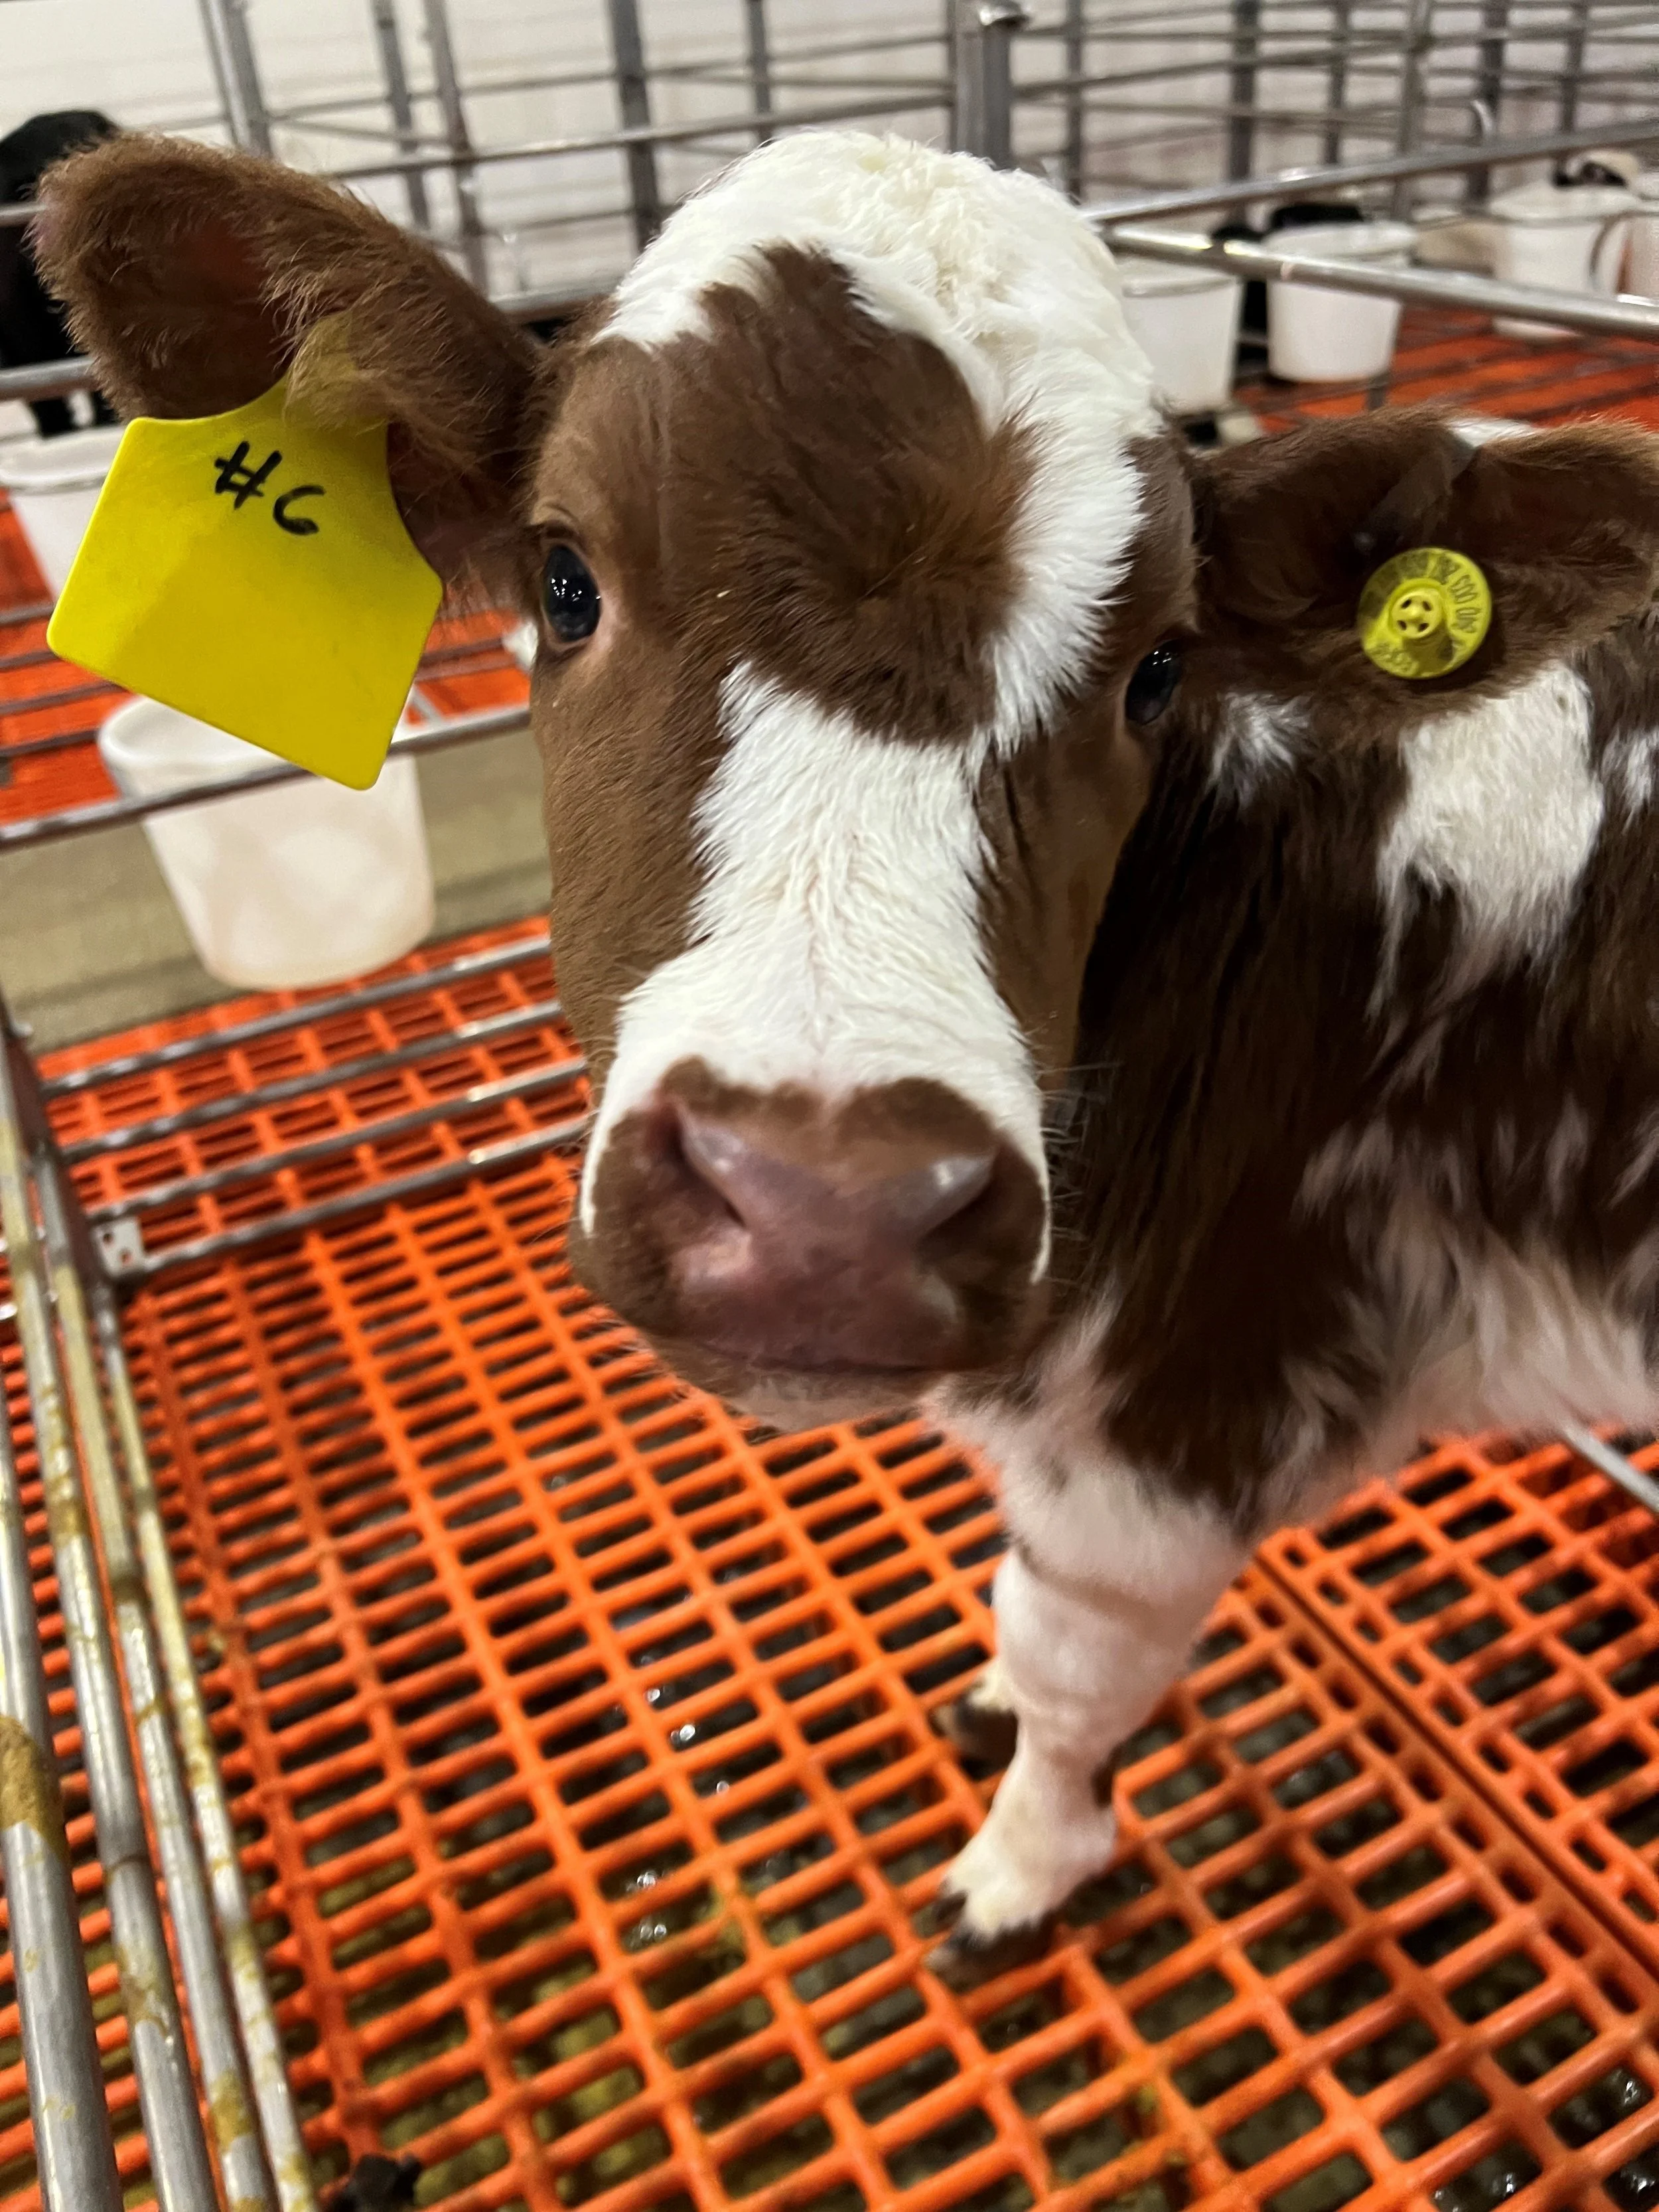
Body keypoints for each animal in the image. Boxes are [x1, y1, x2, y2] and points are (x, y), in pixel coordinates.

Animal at [35, 128, 1659, 1987]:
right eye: (565, 579)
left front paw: (1020, 1862)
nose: (823, 1210)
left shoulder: (1182, 1406)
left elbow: (1072, 1670)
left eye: (1158, 670)